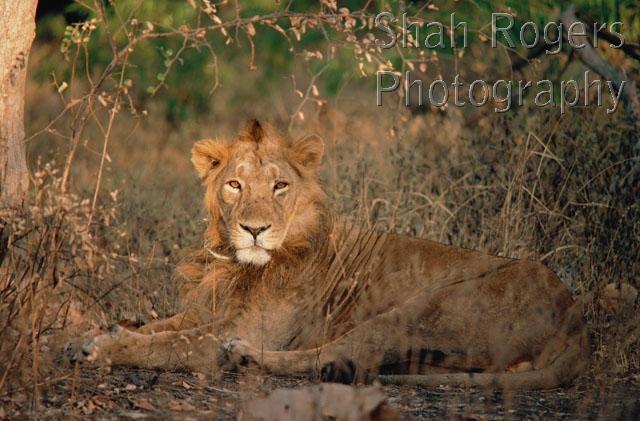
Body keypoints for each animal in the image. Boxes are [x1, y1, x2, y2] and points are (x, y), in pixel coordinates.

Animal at [69, 119, 589, 389]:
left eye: (280, 186)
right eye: (234, 185)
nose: (253, 229)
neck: (241, 268)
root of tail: (576, 317)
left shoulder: (239, 326)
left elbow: (166, 344)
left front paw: (103, 347)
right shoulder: (202, 312)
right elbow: (156, 327)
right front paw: (87, 334)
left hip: (427, 307)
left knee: (340, 354)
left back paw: (244, 358)